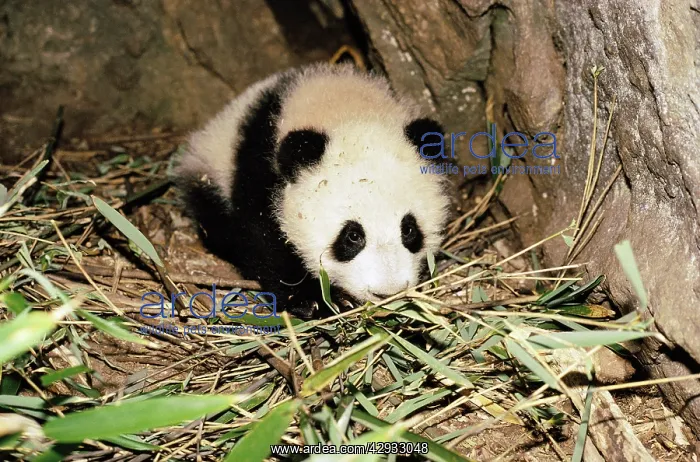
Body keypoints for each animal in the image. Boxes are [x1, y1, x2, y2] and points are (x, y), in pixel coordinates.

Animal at [172, 63, 452, 319]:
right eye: (352, 236)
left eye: (409, 229)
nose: (387, 291)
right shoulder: (258, 169)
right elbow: (261, 237)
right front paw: (317, 299)